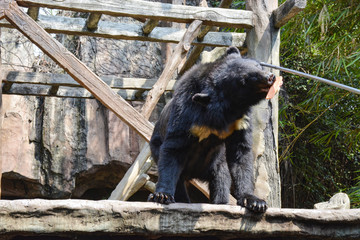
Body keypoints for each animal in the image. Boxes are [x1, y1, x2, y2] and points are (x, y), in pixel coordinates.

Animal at [148, 47, 274, 212]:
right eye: (244, 80)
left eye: (258, 66)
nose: (270, 77)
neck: (227, 110)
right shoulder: (186, 114)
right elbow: (173, 148)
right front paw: (162, 196)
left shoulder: (241, 121)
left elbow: (241, 153)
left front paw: (255, 201)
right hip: (156, 146)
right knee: (179, 179)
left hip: (216, 161)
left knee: (221, 180)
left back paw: (220, 202)